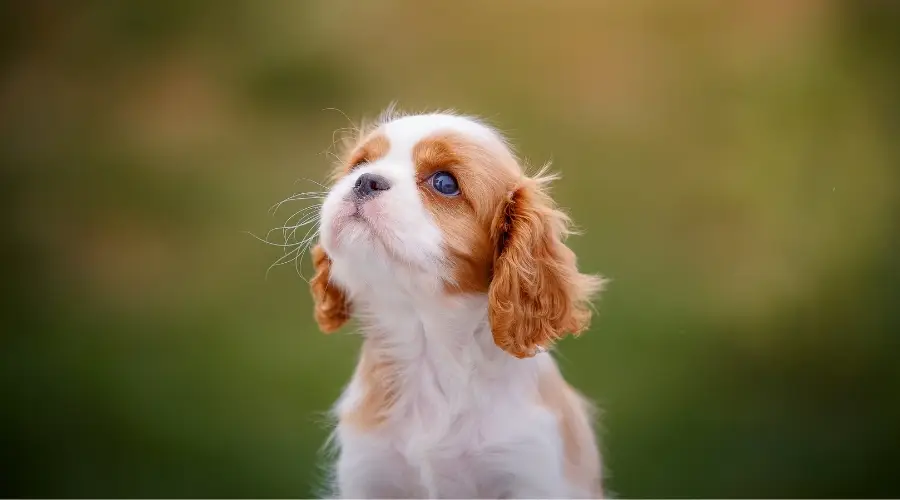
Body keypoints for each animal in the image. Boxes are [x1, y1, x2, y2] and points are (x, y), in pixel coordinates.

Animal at [310, 107, 604, 498]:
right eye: (360, 164)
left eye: (445, 184)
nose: (365, 181)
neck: (427, 346)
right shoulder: (368, 473)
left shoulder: (529, 472)